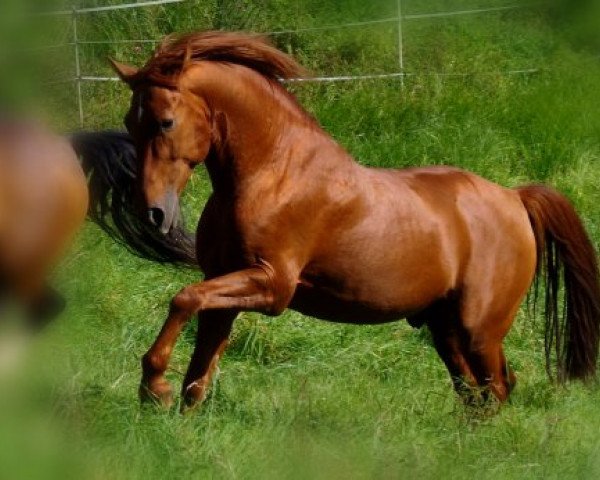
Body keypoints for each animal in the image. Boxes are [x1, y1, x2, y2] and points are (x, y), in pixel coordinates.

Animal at [108, 31, 600, 410]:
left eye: (165, 122)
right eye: (130, 123)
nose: (152, 213)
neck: (274, 173)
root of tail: (514, 198)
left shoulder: (272, 286)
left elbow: (183, 299)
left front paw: (153, 388)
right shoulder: (225, 284)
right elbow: (199, 374)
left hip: (479, 329)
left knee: (496, 388)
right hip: (445, 329)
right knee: (475, 393)